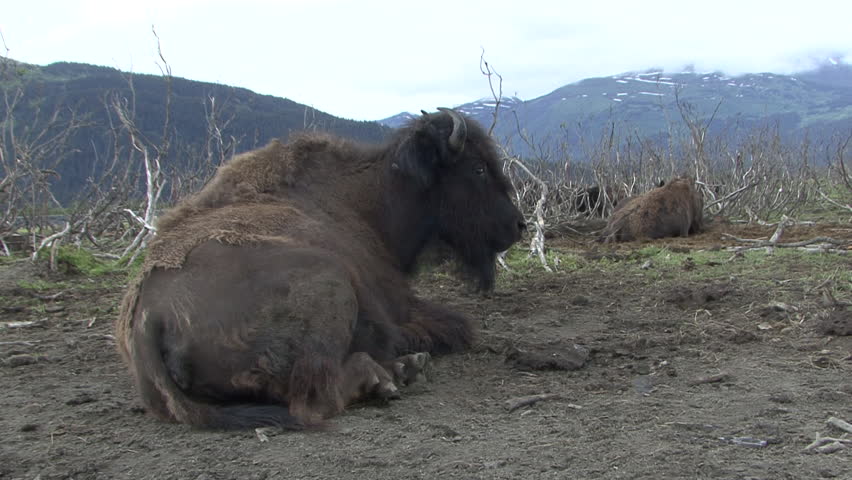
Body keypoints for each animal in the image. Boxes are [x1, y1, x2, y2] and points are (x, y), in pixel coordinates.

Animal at [115, 108, 525, 430]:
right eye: (478, 168)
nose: (518, 225)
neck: (370, 198)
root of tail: (147, 321)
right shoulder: (400, 307)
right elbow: (454, 326)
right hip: (331, 282)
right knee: (316, 399)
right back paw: (392, 374)